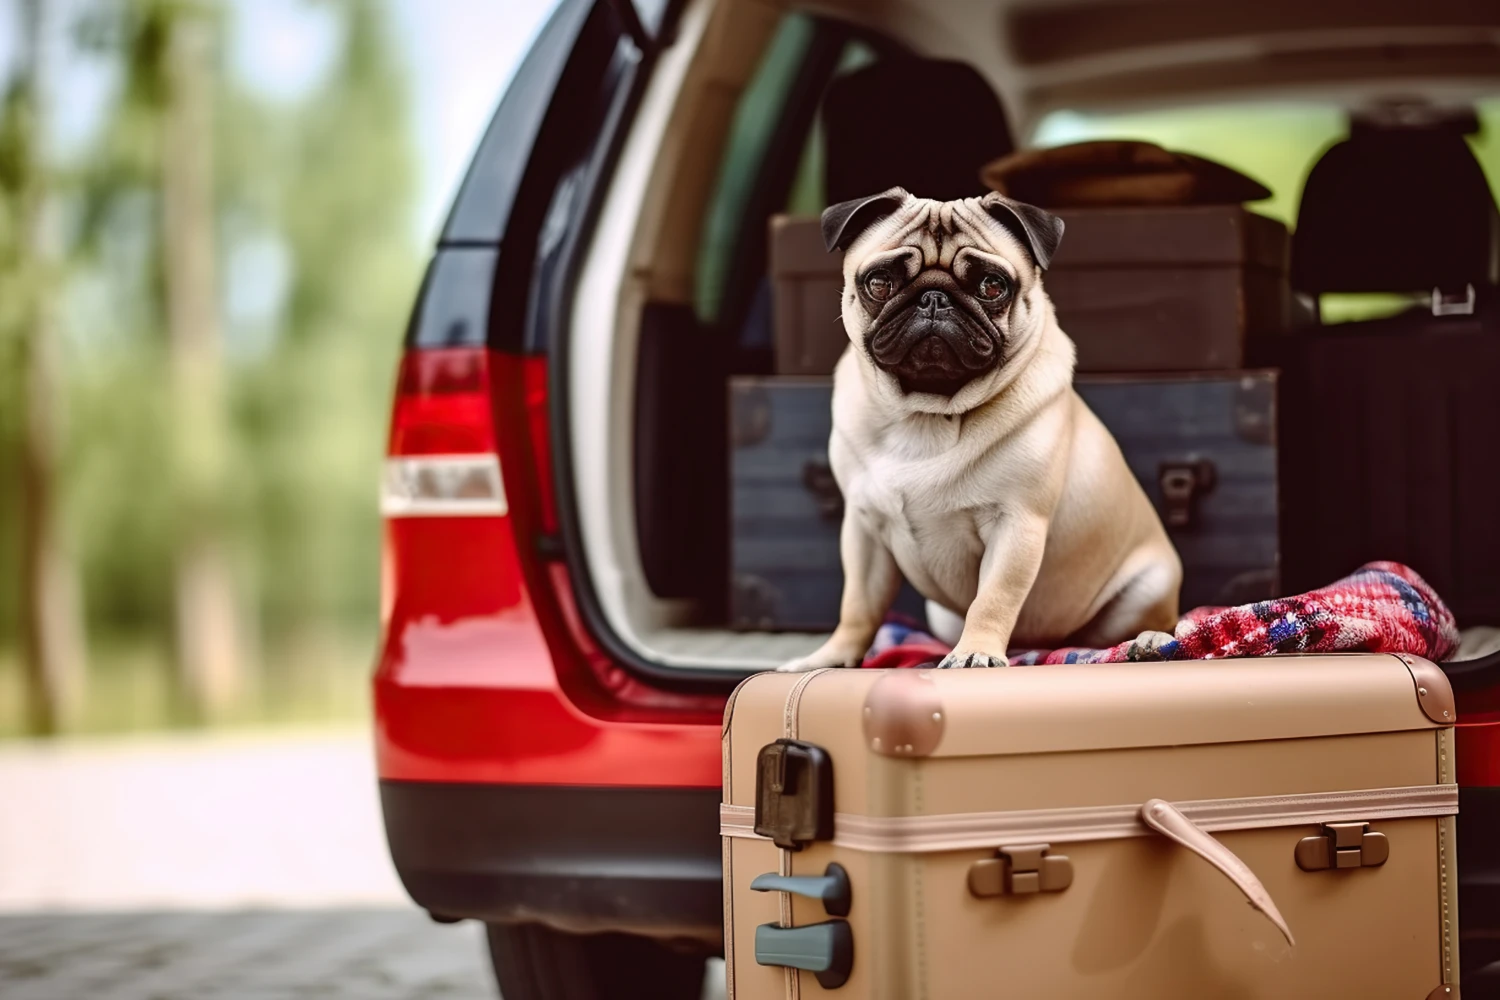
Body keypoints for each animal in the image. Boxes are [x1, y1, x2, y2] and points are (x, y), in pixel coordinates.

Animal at [780, 187, 1176, 671]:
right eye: (879, 282)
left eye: (992, 286)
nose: (934, 298)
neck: (926, 414)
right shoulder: (864, 528)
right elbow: (857, 605)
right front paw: (833, 658)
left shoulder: (1016, 524)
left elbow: (993, 598)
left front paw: (976, 653)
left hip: (1149, 588)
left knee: (1138, 627)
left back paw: (1149, 642)